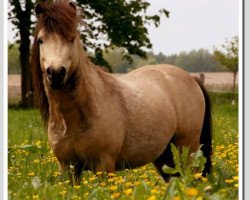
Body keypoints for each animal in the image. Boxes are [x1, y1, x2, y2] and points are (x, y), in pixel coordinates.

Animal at [30, 0, 212, 184]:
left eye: (72, 38)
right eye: (41, 40)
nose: (55, 73)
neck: (73, 118)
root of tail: (191, 78)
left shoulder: (104, 166)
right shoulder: (68, 169)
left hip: (188, 147)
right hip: (164, 153)